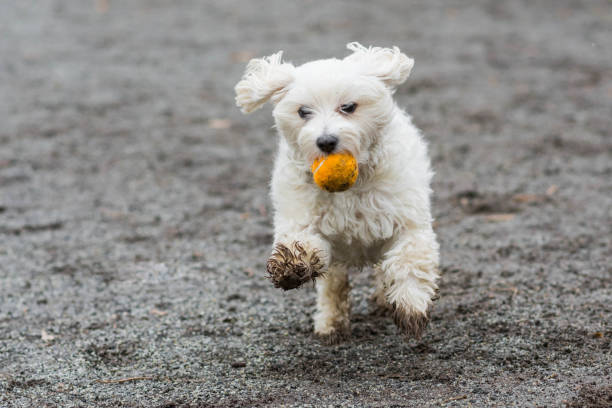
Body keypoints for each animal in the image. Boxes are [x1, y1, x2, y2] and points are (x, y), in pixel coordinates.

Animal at [234, 43, 440, 342]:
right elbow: (304, 241)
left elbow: (409, 260)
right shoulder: (304, 216)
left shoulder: (407, 221)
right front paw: (291, 265)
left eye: (348, 107)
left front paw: (410, 304)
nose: (326, 141)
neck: (352, 188)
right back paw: (331, 322)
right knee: (334, 284)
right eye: (303, 111)